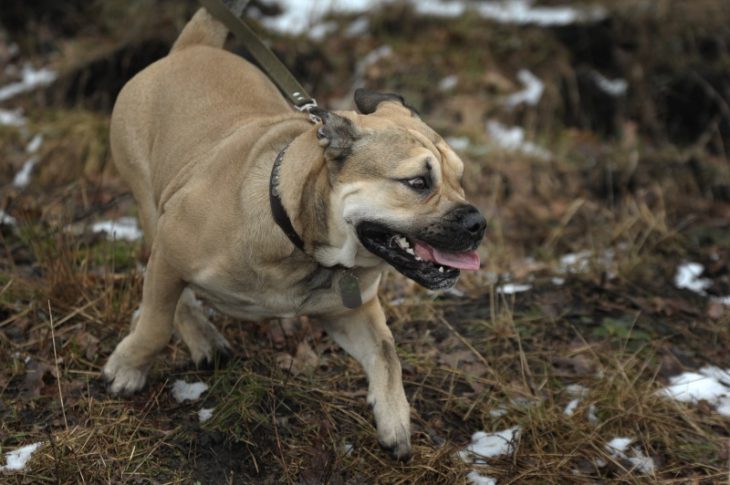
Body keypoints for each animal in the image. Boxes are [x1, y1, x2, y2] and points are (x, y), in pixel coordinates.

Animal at [102, 4, 486, 458]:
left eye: (460, 178)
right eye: (418, 182)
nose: (478, 223)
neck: (299, 240)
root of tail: (191, 47)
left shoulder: (350, 311)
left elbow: (387, 351)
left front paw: (394, 419)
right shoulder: (172, 250)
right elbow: (156, 324)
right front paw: (128, 367)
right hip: (149, 203)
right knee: (168, 293)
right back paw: (201, 337)